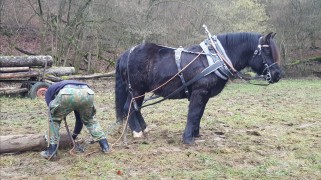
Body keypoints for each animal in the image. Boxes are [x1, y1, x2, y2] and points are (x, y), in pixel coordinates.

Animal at [114, 31, 280, 144]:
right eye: (266, 51)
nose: (277, 74)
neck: (214, 59)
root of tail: (126, 54)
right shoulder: (199, 92)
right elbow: (193, 114)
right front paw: (188, 138)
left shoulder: (204, 95)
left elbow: (199, 114)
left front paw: (195, 133)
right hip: (137, 90)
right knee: (129, 107)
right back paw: (137, 132)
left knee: (135, 108)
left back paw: (143, 128)